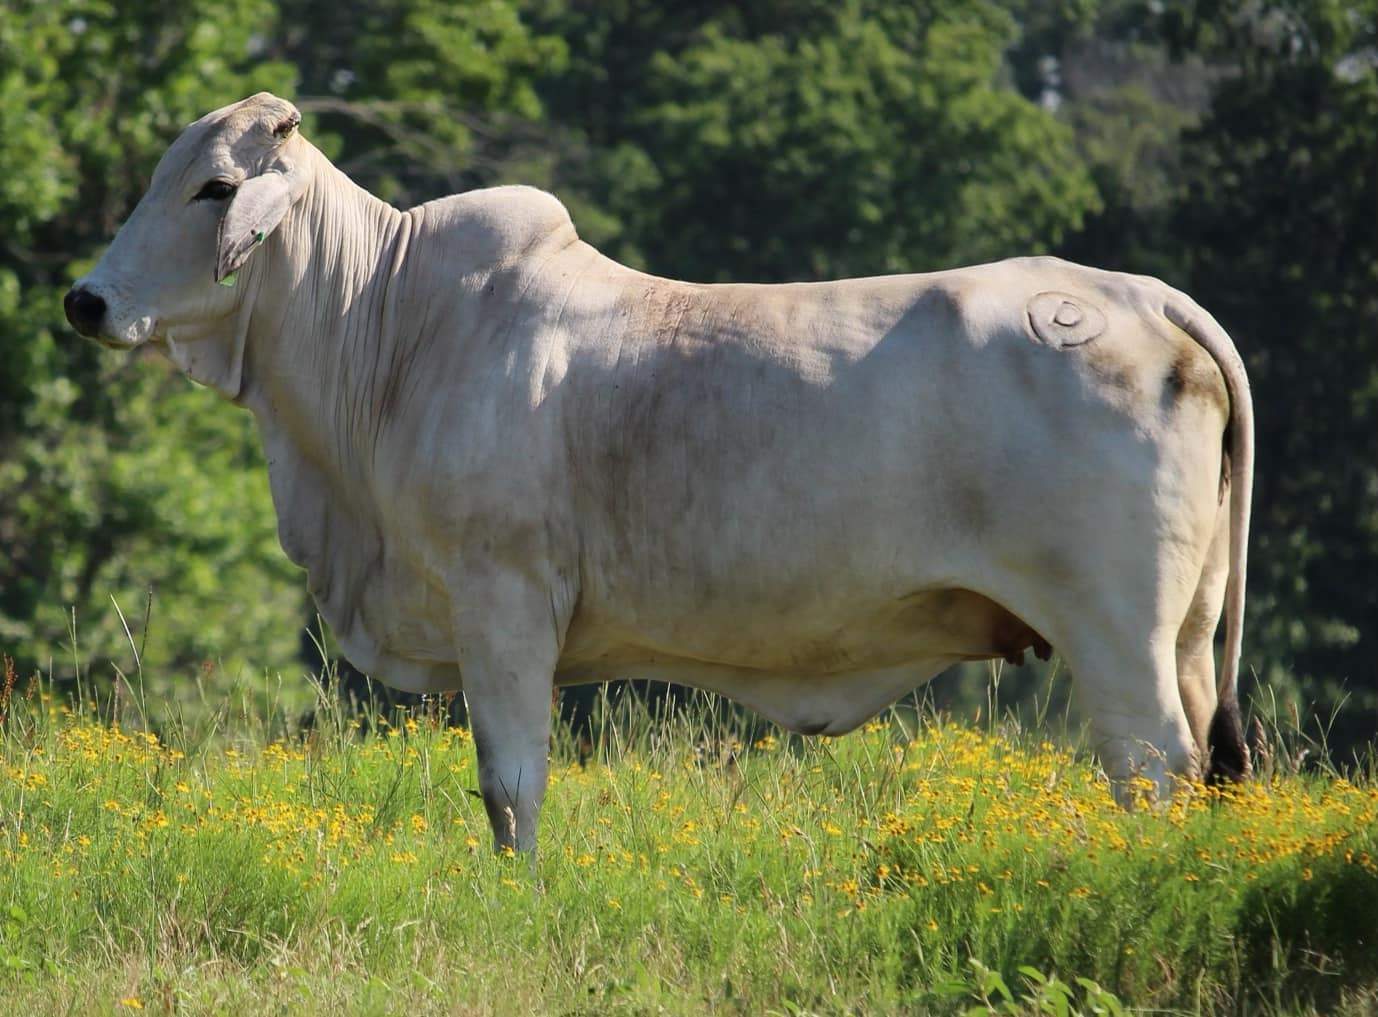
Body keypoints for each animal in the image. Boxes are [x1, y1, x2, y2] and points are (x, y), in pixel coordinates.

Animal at [64, 93, 1256, 848]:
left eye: (215, 188)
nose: (85, 299)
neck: (390, 325)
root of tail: (1140, 294)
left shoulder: (504, 602)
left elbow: (510, 788)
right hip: (1188, 633)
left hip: (1115, 630)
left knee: (1149, 768)